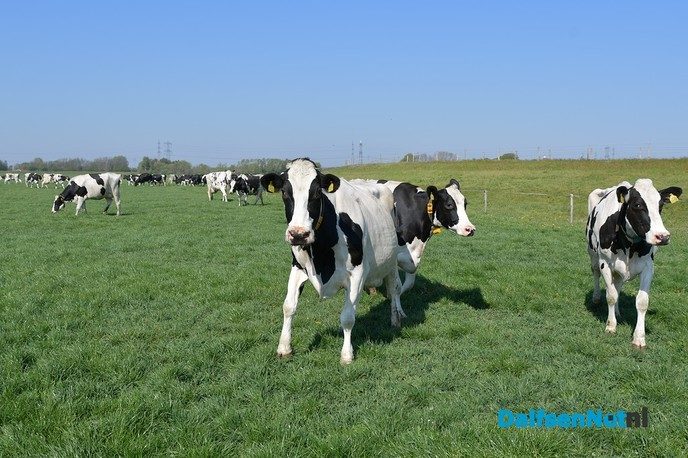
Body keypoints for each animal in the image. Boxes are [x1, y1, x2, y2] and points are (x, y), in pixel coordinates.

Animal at [260, 158, 404, 364]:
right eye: (285, 192)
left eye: (317, 193)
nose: (298, 234)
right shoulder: (297, 267)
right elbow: (288, 306)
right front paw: (284, 347)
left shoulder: (357, 273)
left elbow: (348, 317)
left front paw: (346, 355)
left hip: (391, 260)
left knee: (394, 289)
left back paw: (396, 319)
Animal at [586, 179, 682, 348]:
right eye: (637, 205)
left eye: (660, 204)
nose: (663, 237)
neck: (629, 245)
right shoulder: (605, 263)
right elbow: (610, 295)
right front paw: (610, 326)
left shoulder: (649, 267)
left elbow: (642, 301)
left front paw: (639, 337)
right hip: (593, 254)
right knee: (595, 272)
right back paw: (596, 299)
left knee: (618, 285)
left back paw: (617, 312)